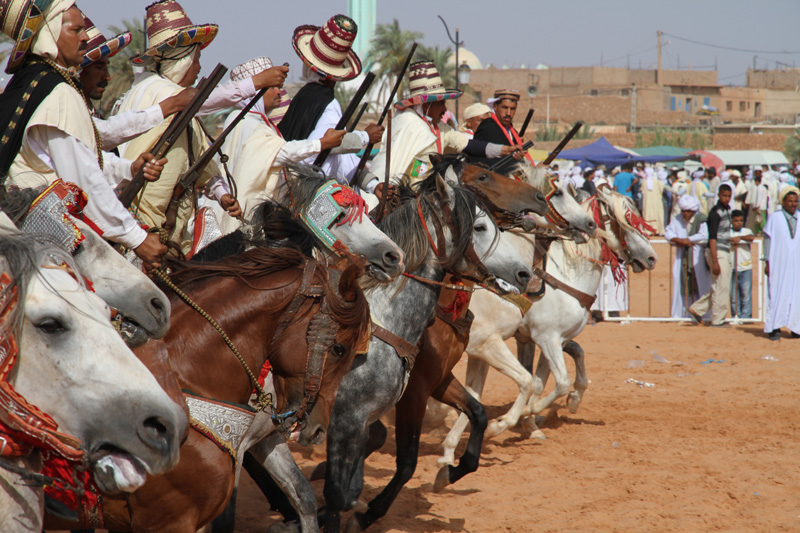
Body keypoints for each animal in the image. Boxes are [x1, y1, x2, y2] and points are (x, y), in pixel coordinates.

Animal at [316, 170, 536, 532]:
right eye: (479, 226)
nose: (525, 273)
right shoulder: (411, 395)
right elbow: (406, 461)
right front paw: (364, 513)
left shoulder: (438, 380)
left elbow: (477, 413)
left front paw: (451, 472)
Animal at [440, 187, 660, 462]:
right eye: (626, 221)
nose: (652, 258)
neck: (568, 274)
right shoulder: (546, 338)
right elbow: (560, 381)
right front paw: (525, 414)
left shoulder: (551, 339)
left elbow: (555, 371)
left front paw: (556, 409)